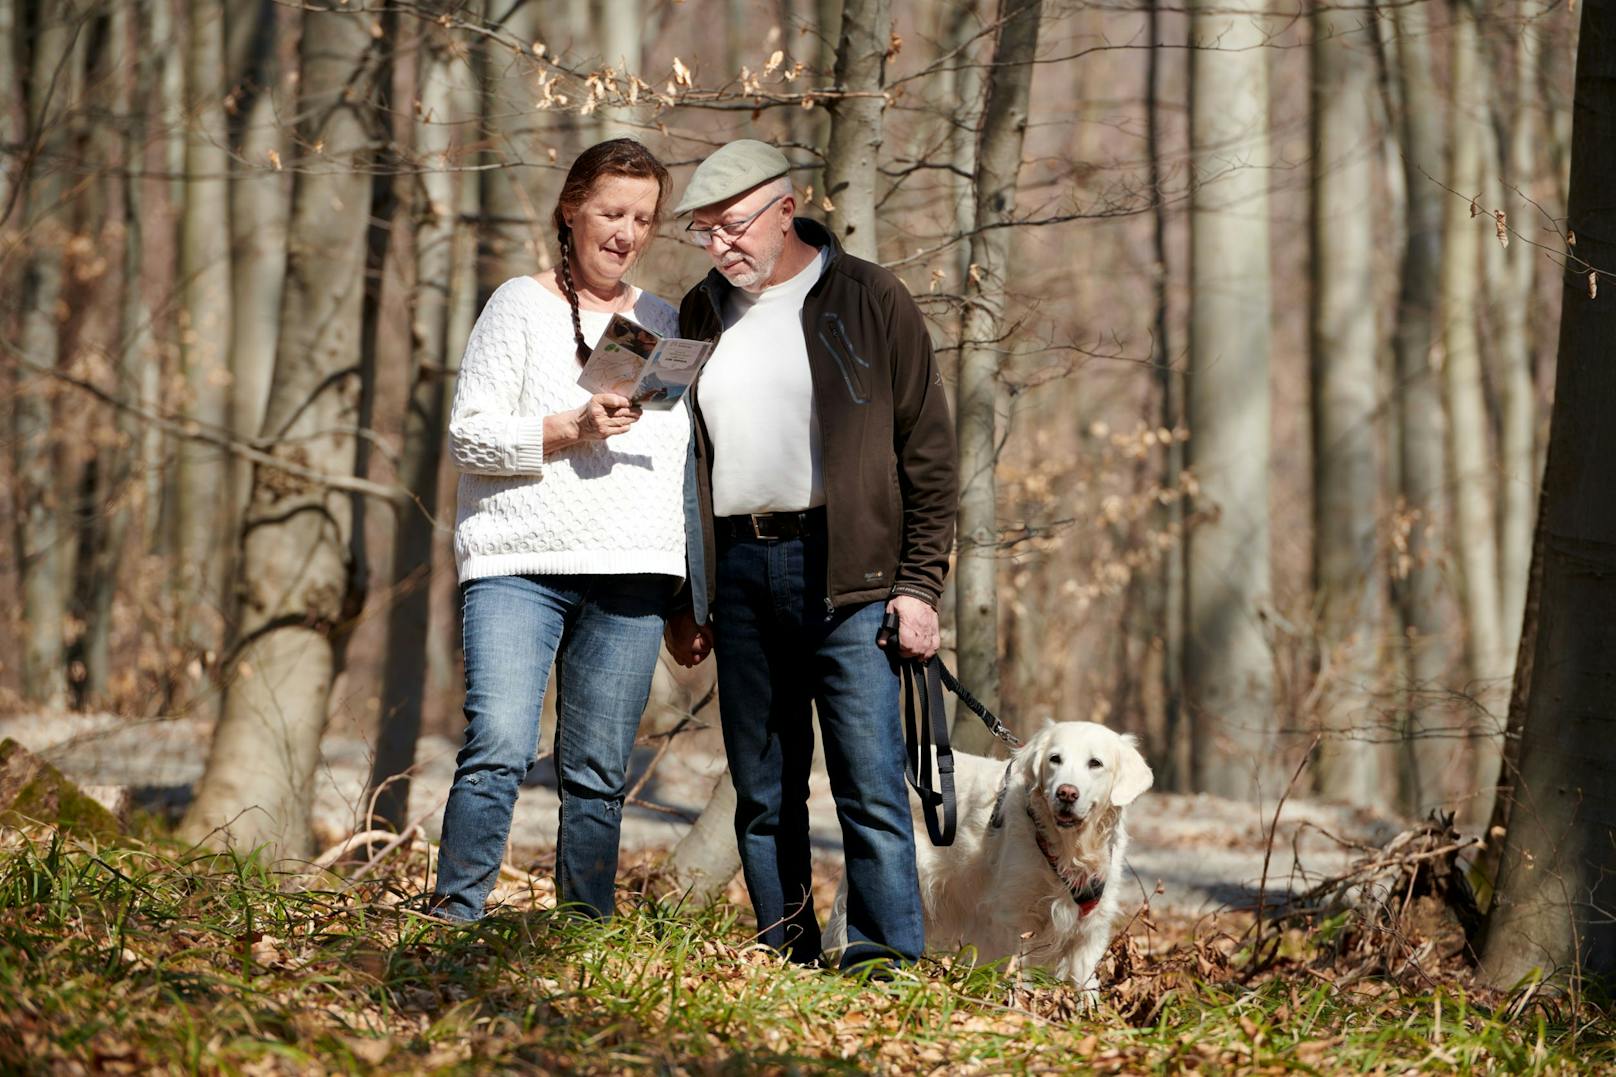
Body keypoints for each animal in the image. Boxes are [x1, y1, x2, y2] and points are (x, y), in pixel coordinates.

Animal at [833, 718, 1150, 996]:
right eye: (1055, 759)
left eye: (1095, 763)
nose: (1066, 793)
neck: (1067, 849)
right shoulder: (1014, 918)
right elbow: (1016, 972)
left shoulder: (1091, 927)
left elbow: (1086, 984)